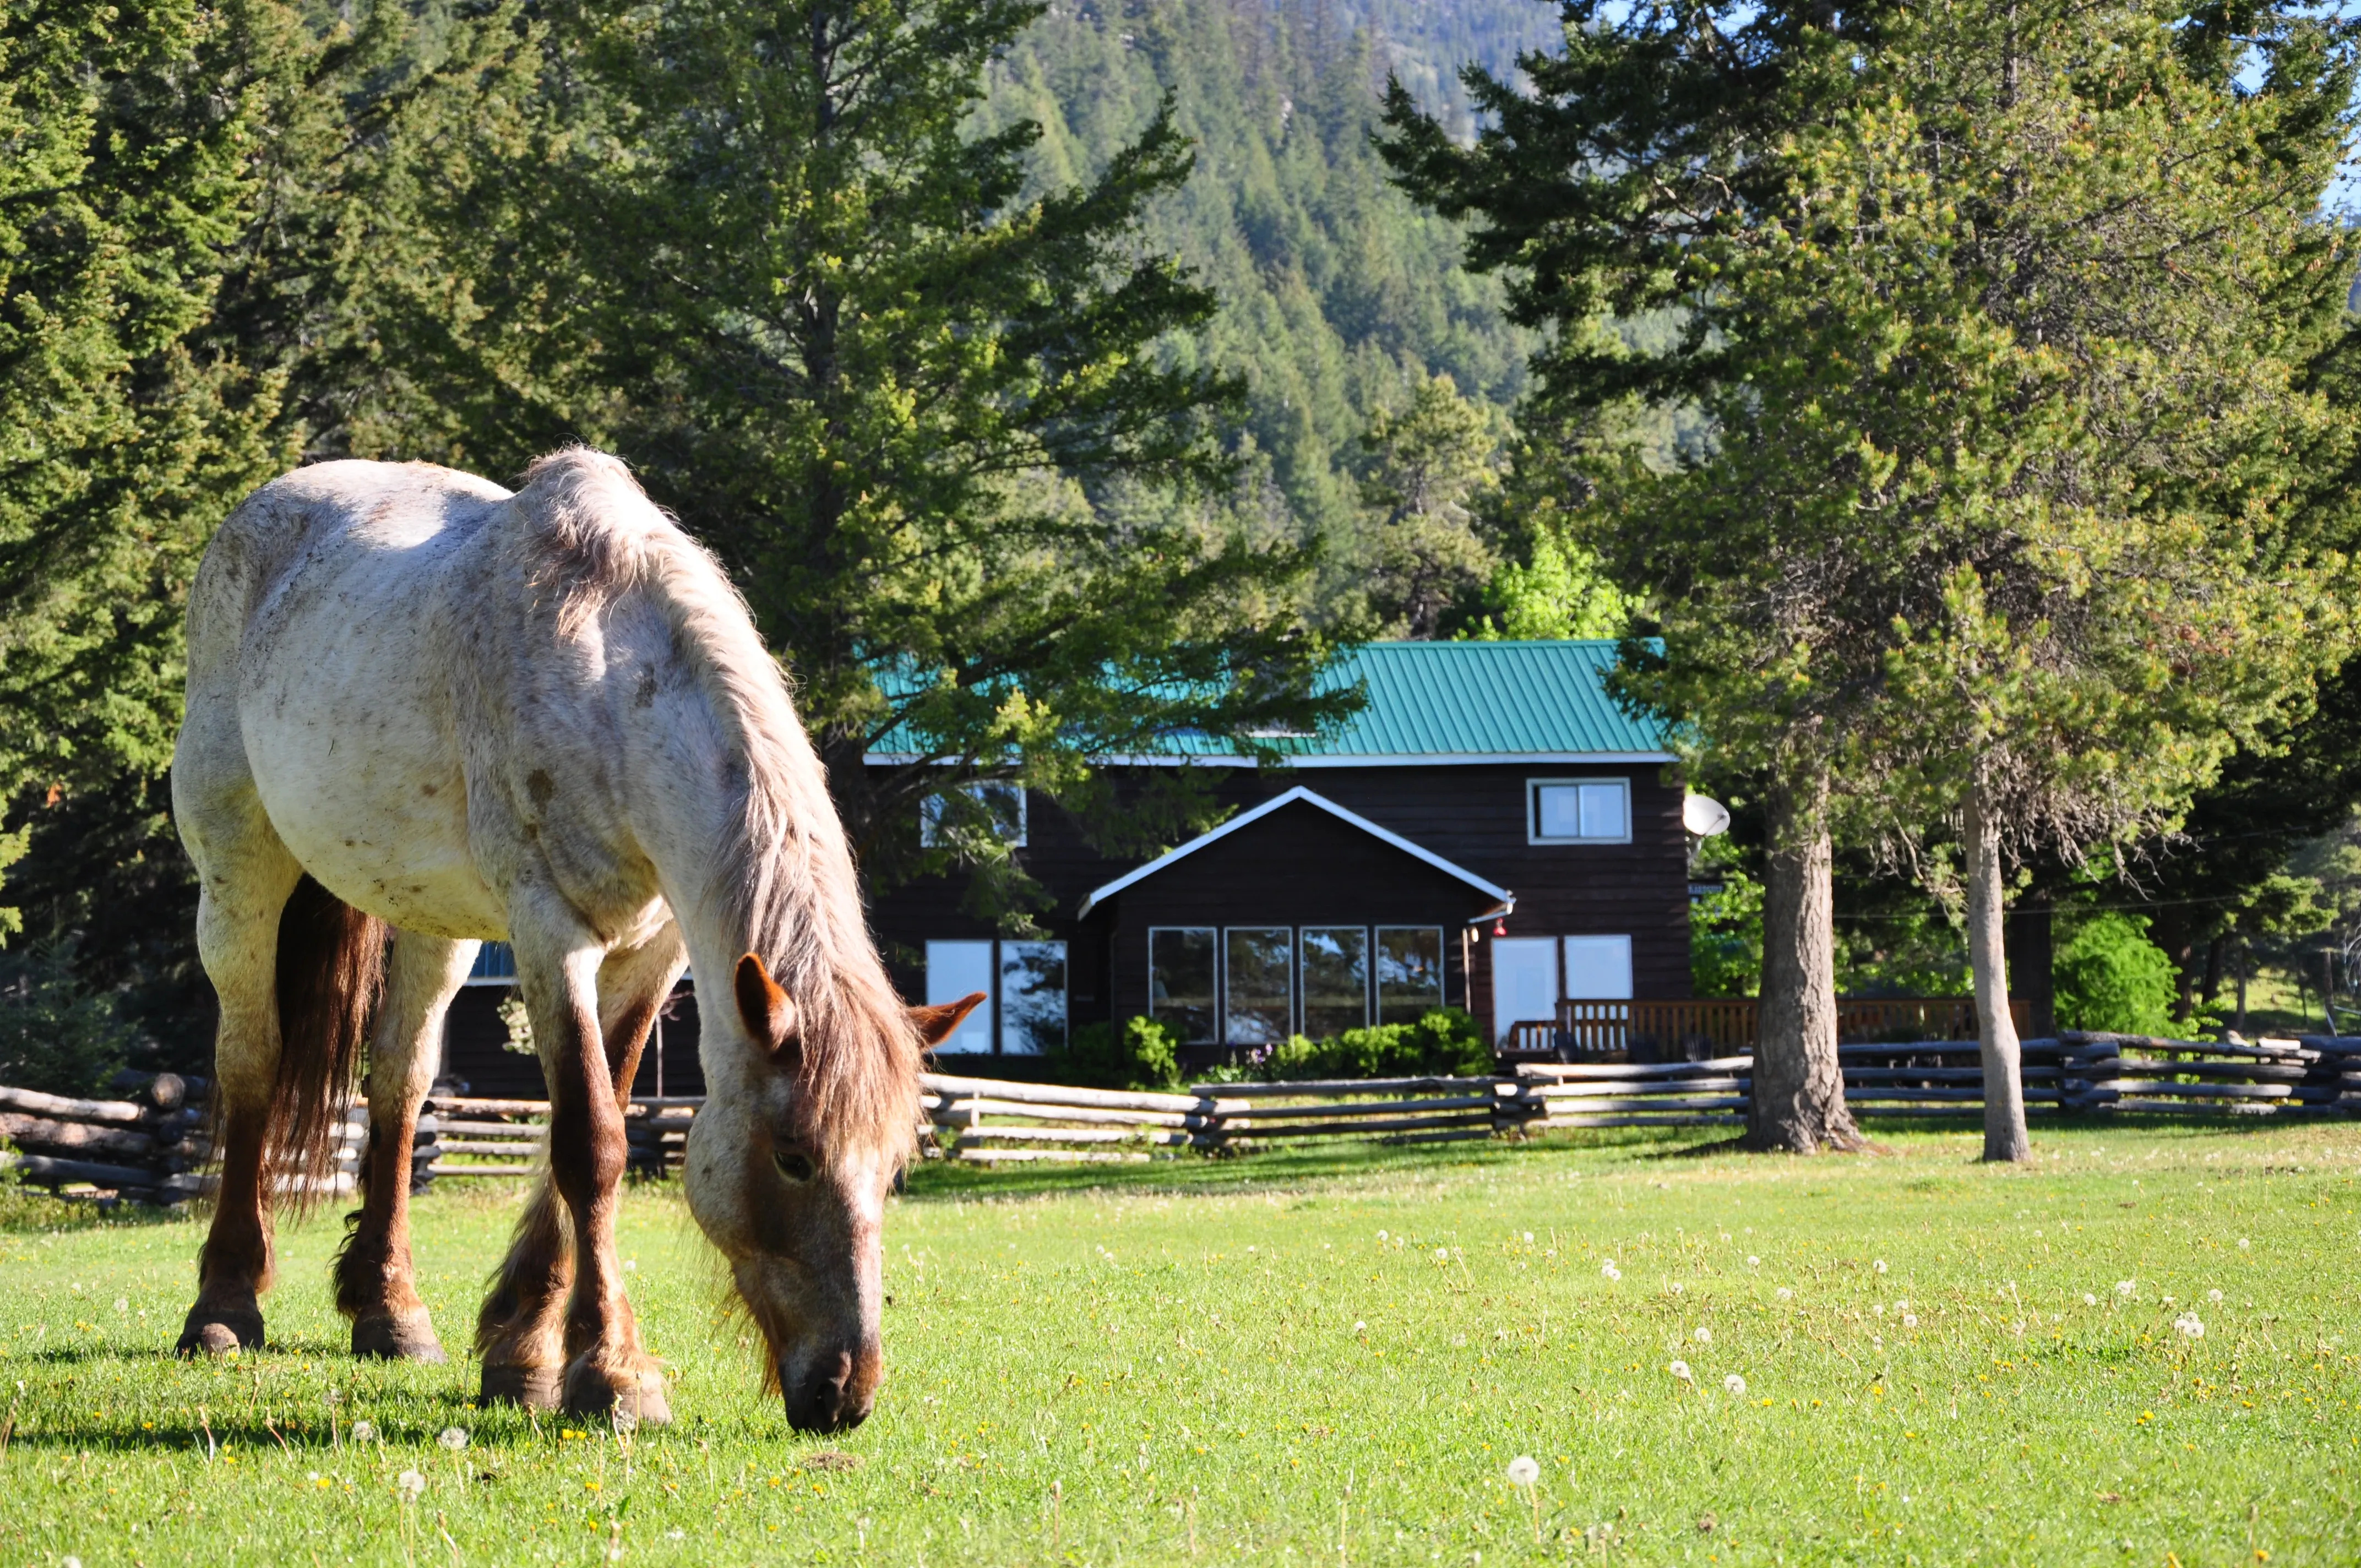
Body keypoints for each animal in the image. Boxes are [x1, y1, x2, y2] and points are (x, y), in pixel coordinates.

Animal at [170, 448, 980, 1431]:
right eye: (793, 1156)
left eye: (895, 1163)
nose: (845, 1392)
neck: (604, 671)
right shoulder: (551, 936)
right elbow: (591, 1144)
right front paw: (613, 1376)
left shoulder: (652, 954)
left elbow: (600, 1119)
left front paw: (522, 1347)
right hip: (237, 872)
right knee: (250, 1061)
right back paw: (223, 1306)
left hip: (434, 922)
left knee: (400, 1082)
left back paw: (389, 1311)